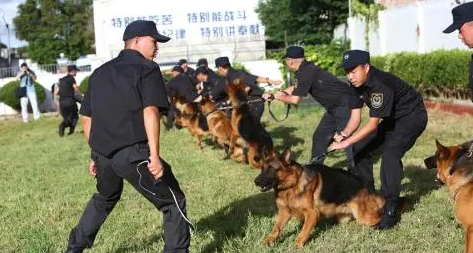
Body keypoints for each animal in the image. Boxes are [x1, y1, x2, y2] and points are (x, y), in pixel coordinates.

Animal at [256, 147, 386, 248]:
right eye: (262, 168)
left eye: (271, 169)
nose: (255, 181)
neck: (292, 184)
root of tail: (365, 187)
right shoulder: (284, 212)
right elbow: (275, 229)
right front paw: (267, 242)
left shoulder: (312, 213)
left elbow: (303, 232)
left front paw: (297, 246)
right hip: (345, 218)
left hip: (364, 217)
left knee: (378, 217)